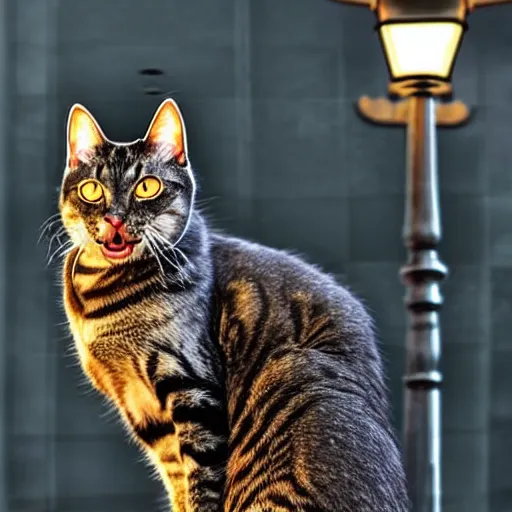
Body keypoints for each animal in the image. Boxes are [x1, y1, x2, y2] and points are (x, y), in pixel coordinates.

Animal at [57, 98, 408, 510]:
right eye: (92, 190)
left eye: (147, 186)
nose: (114, 219)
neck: (104, 296)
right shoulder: (148, 418)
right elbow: (179, 485)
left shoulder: (193, 387)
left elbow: (202, 481)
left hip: (290, 372)